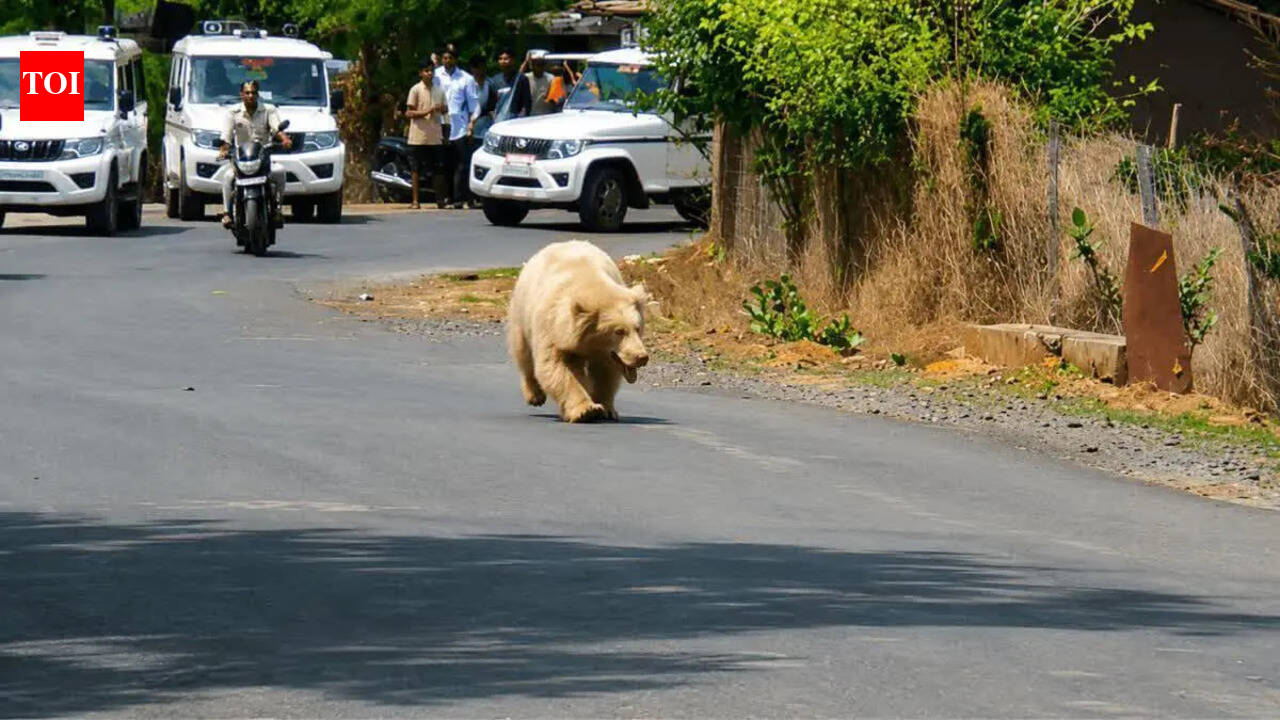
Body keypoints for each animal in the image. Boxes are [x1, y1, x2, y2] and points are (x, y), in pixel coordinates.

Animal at [506, 240, 651, 423]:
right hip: (523, 312)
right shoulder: (553, 327)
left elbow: (606, 373)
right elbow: (555, 366)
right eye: (619, 332)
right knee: (523, 352)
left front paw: (607, 409)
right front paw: (587, 410)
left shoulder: (606, 353)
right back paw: (535, 395)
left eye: (637, 328)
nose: (641, 357)